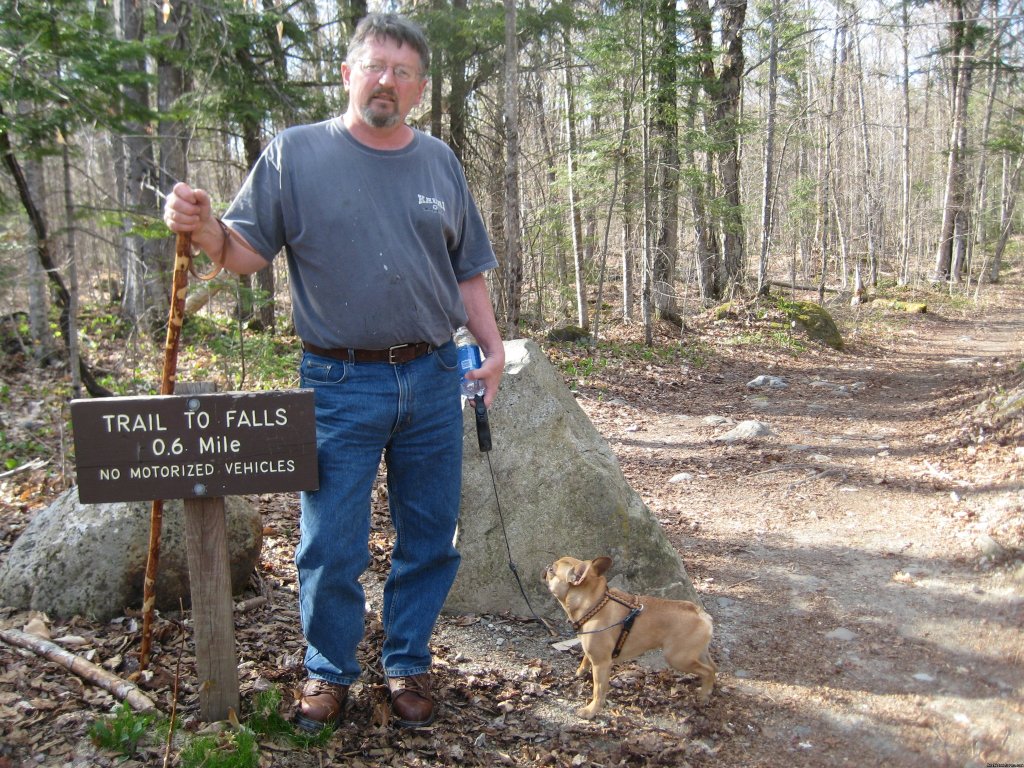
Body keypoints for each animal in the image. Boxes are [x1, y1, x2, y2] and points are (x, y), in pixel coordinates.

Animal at [540, 557, 716, 720]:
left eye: (552, 570)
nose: (546, 566)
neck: (595, 604)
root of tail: (701, 614)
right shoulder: (592, 652)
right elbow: (585, 658)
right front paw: (580, 671)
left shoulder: (601, 663)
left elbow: (598, 690)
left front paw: (591, 710)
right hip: (696, 653)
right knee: (712, 667)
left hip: (678, 658)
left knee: (707, 671)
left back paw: (704, 695)